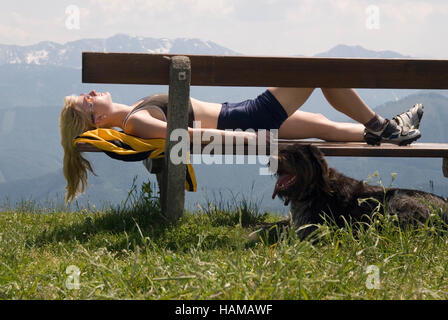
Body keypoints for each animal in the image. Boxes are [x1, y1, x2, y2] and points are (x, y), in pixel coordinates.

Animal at [262, 144, 448, 239]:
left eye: (295, 155)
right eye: (280, 150)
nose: (270, 161)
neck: (315, 188)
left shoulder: (309, 231)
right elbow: (271, 227)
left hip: (397, 202)